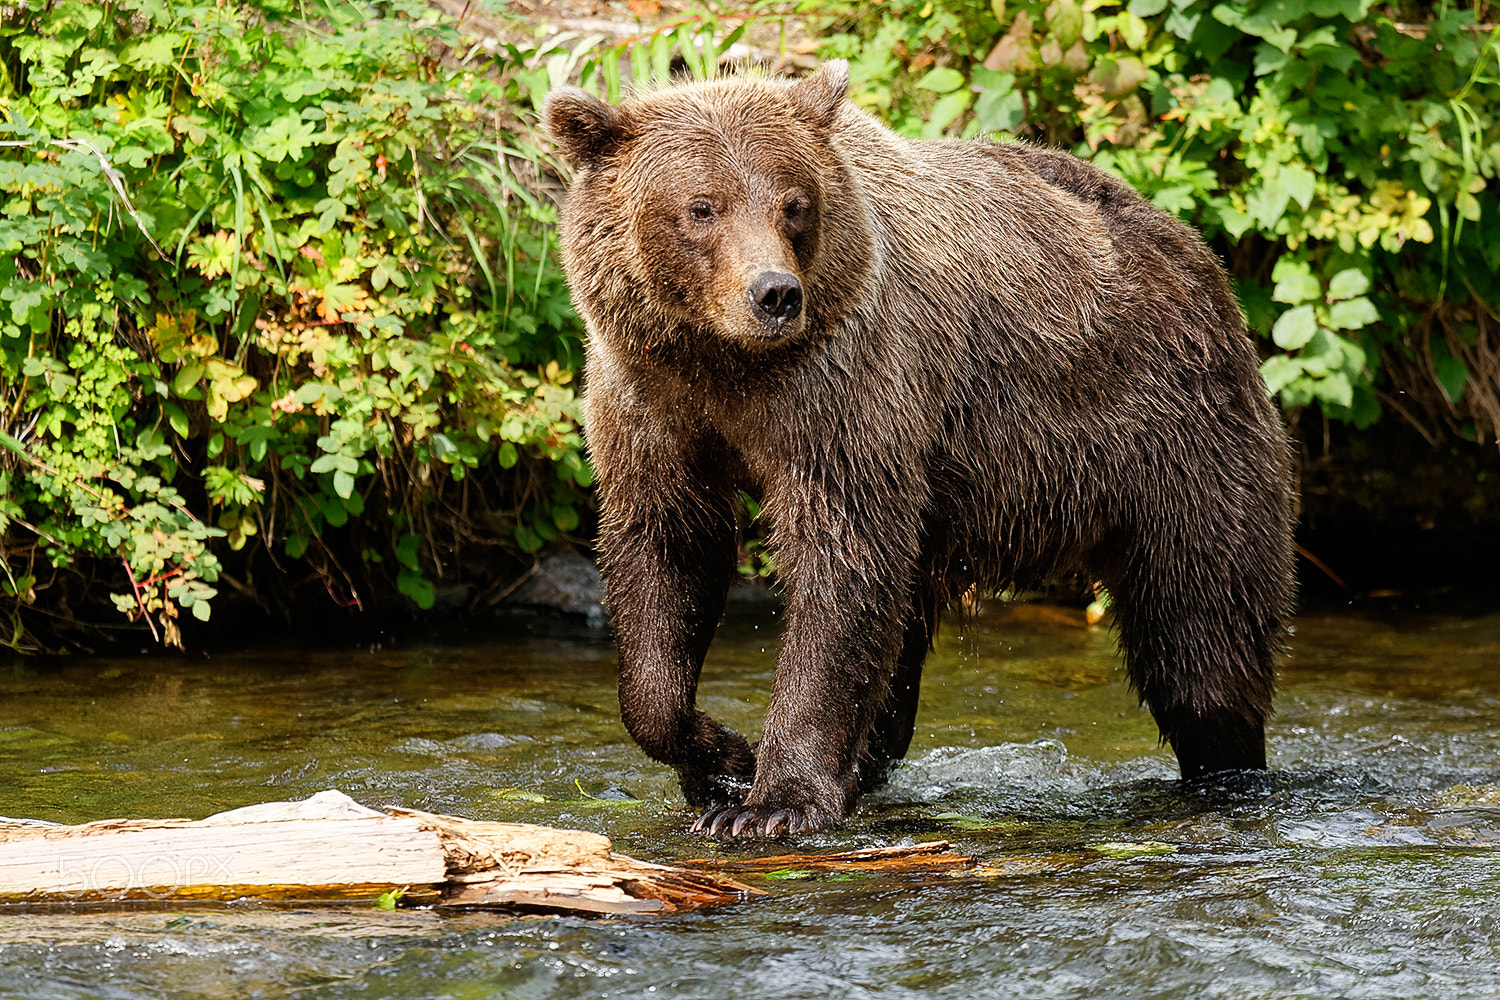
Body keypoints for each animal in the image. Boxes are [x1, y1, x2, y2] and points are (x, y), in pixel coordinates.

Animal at [542, 60, 1295, 841]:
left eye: (793, 204)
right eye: (701, 207)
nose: (774, 293)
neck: (726, 365)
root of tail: (1197, 253)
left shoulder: (845, 387)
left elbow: (841, 563)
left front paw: (772, 802)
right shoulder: (652, 401)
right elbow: (666, 554)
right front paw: (718, 760)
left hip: (1175, 441)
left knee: (1200, 639)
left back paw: (1226, 770)